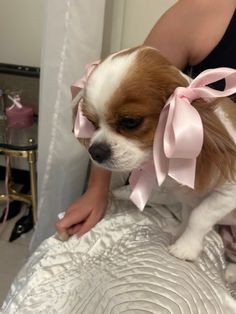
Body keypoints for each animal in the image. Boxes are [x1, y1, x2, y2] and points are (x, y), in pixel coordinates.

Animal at [74, 44, 236, 272]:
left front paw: (185, 248)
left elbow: (199, 216)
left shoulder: (229, 193)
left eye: (130, 121)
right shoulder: (188, 196)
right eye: (91, 122)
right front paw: (179, 232)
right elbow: (188, 215)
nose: (95, 151)